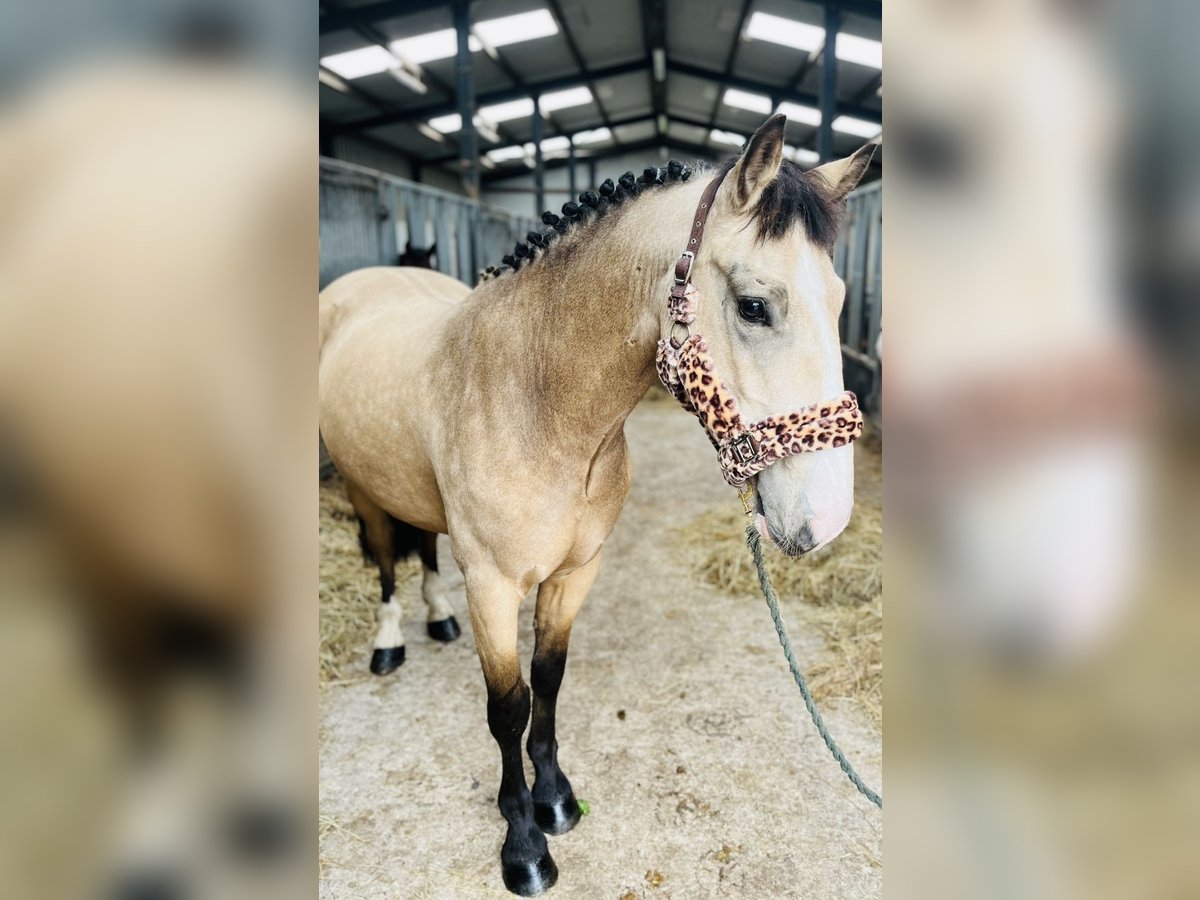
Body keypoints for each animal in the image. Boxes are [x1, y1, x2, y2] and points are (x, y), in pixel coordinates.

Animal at [318, 115, 874, 895]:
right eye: (754, 305)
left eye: (840, 298)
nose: (826, 519)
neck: (535, 401)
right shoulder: (492, 584)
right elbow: (507, 707)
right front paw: (524, 845)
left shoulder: (578, 570)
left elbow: (549, 682)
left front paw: (553, 801)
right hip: (362, 487)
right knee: (385, 562)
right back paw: (391, 642)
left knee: (420, 546)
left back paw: (437, 618)